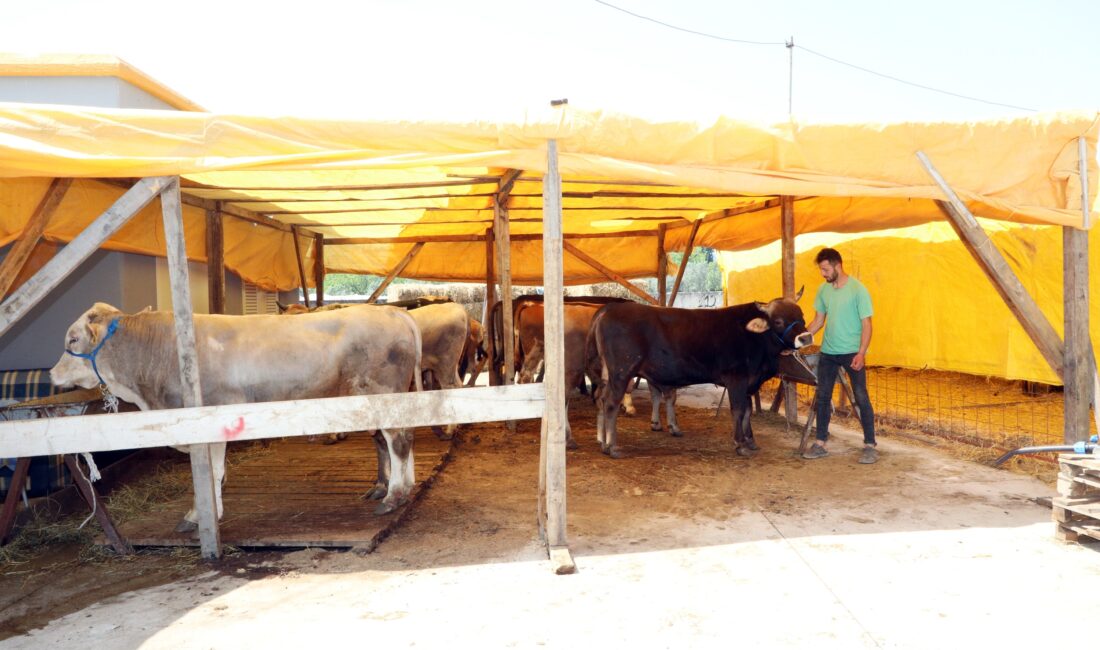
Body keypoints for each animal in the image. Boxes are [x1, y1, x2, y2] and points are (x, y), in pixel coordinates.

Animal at [51, 303, 422, 532]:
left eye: (73, 338)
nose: (52, 374)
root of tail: (391, 310)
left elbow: (210, 474)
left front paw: (201, 516)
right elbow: (213, 474)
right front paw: (202, 514)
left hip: (384, 393)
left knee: (399, 441)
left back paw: (394, 497)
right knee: (399, 440)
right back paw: (399, 490)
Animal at [589, 292, 814, 459]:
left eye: (801, 313)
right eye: (778, 320)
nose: (805, 337)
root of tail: (610, 308)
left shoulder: (750, 382)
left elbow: (748, 411)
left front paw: (751, 441)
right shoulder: (737, 379)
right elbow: (738, 410)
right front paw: (740, 444)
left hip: (608, 373)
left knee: (601, 398)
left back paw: (602, 442)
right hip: (622, 372)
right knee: (611, 403)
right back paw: (613, 447)